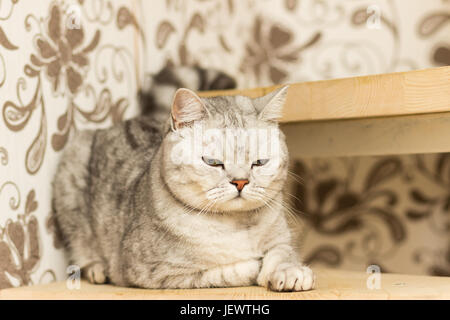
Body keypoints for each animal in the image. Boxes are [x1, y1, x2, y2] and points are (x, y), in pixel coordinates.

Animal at [51, 66, 316, 292]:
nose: (241, 182)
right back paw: (96, 269)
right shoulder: (157, 272)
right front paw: (255, 265)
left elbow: (282, 253)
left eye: (260, 162)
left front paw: (291, 272)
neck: (238, 225)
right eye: (213, 162)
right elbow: (226, 271)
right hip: (72, 173)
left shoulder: (281, 239)